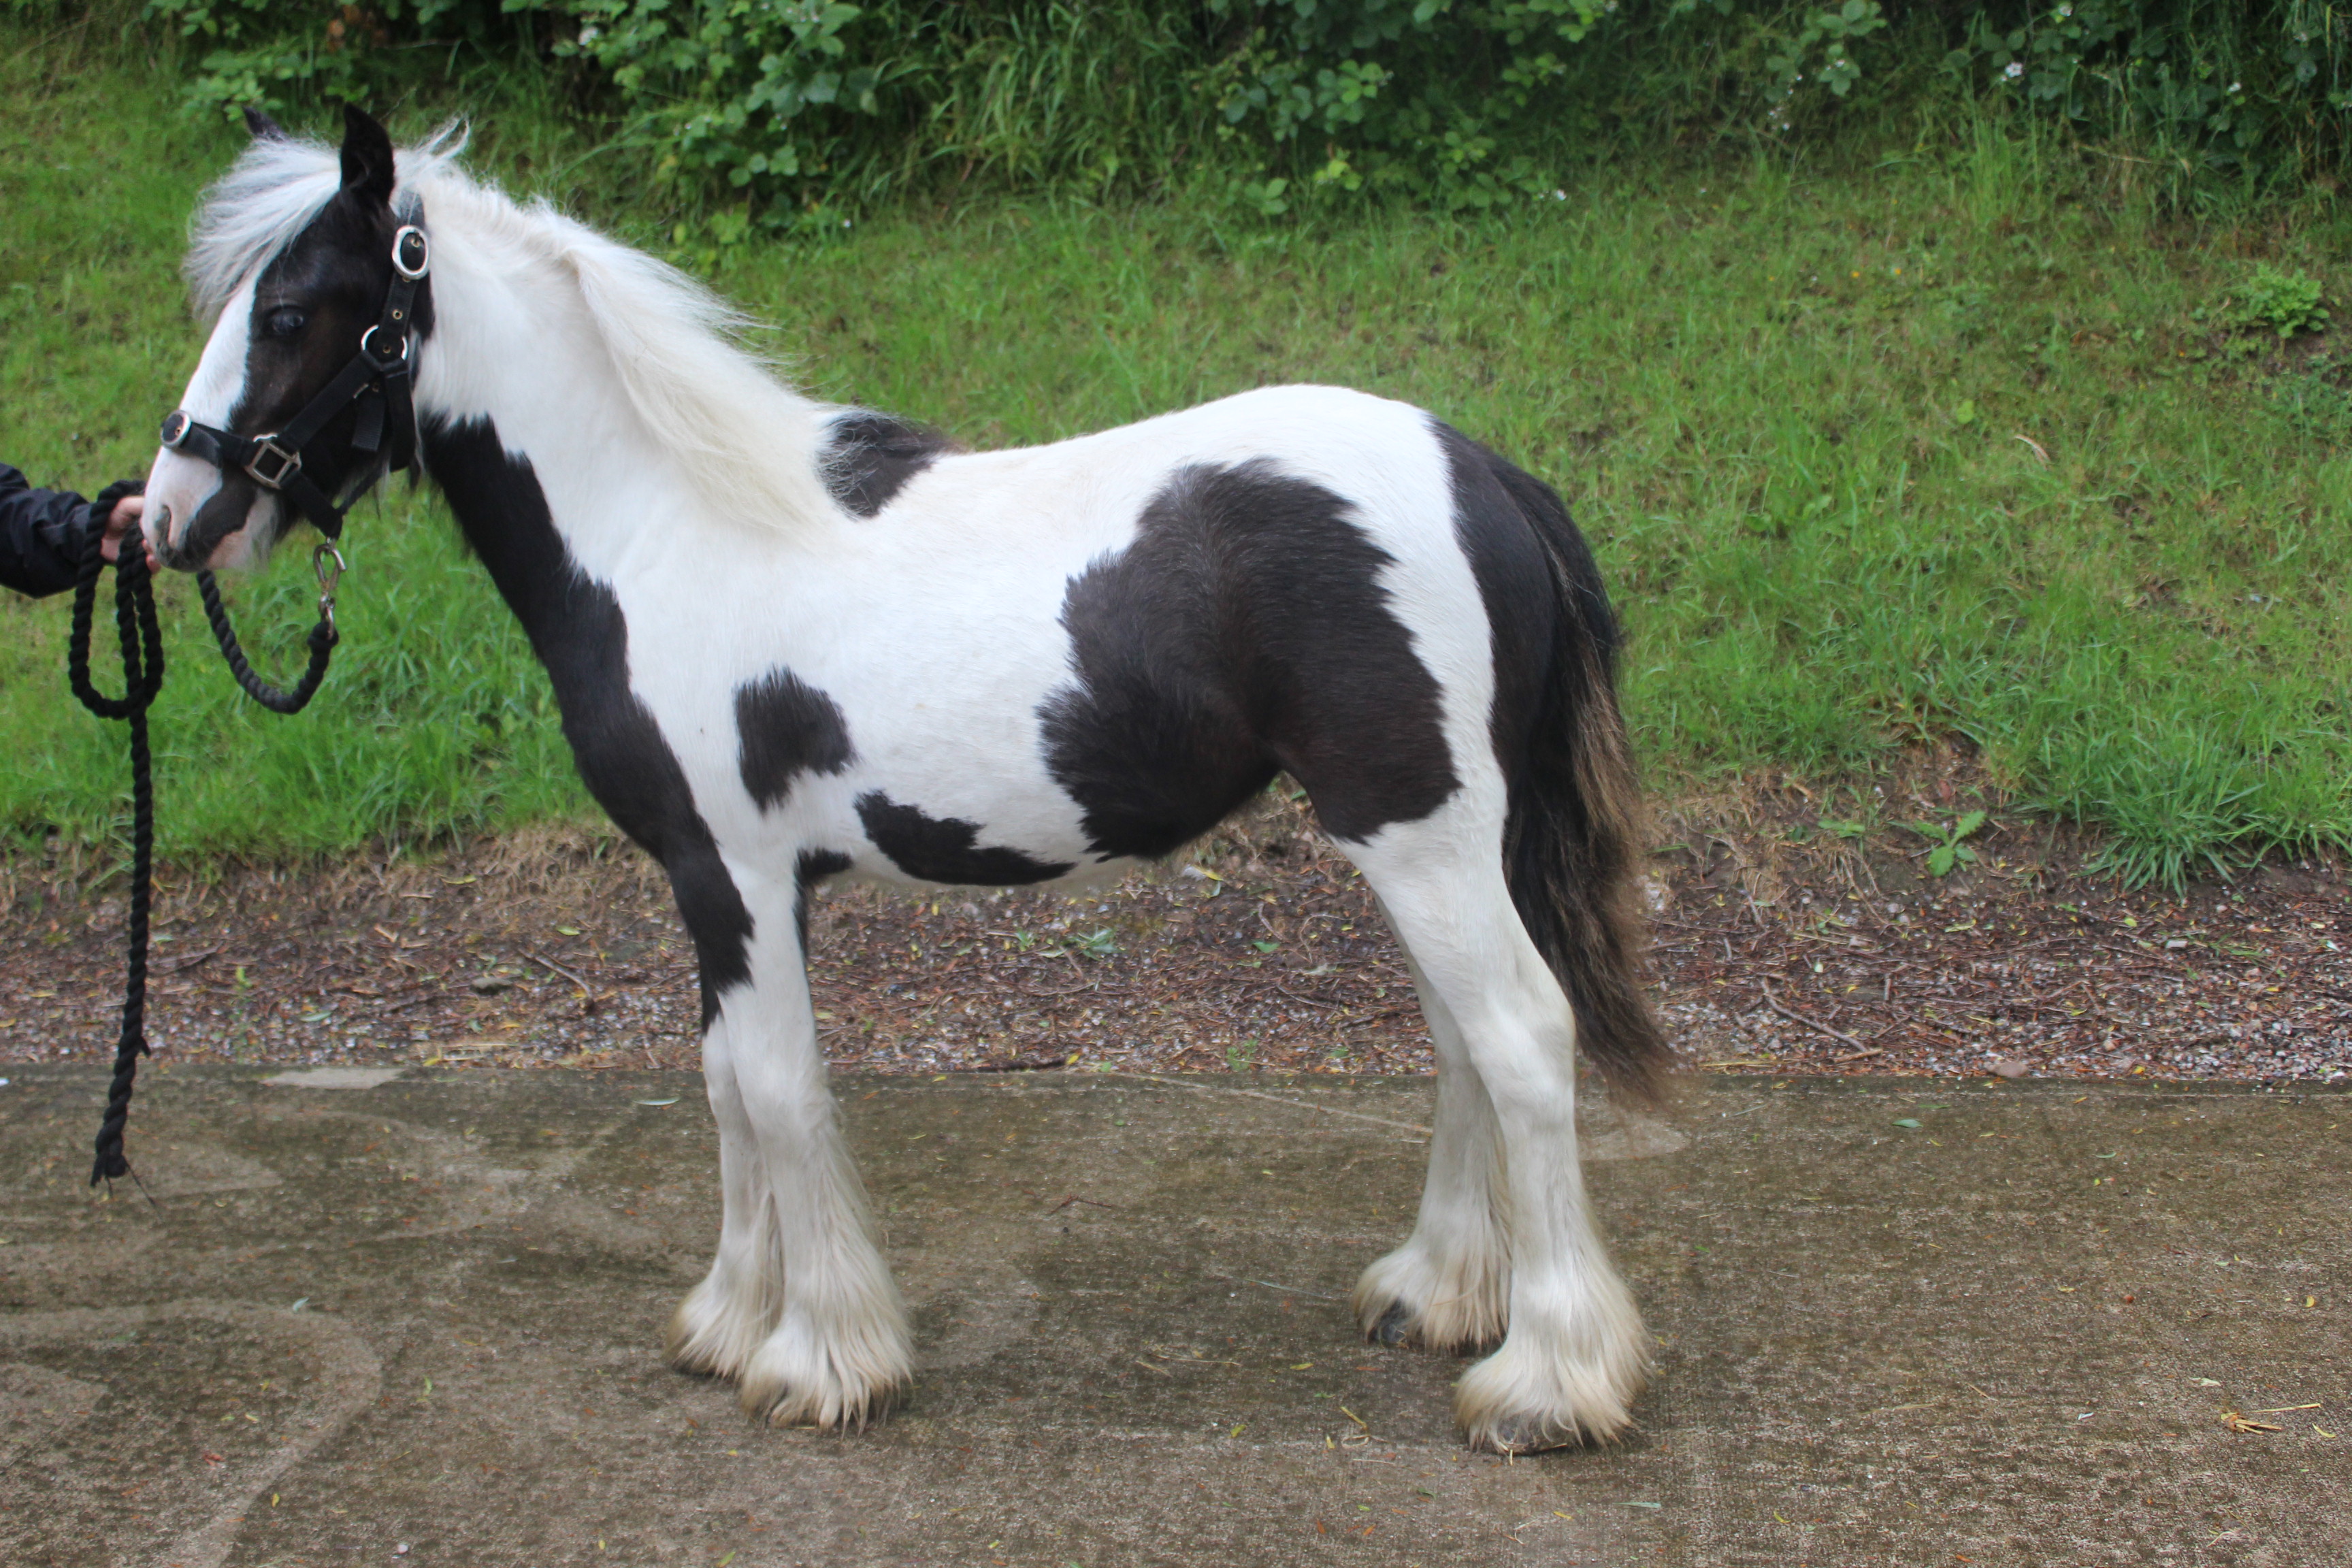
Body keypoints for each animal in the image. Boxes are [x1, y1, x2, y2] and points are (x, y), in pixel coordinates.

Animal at [142, 105, 1669, 1454]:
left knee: (1521, 1036)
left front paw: (820, 1360)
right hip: (1429, 845)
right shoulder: (721, 889)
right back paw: (1439, 1295)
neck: (663, 533)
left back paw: (1547, 1383)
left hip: (1420, 835)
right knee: (1465, 1042)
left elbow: (774, 1086)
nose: (169, 516)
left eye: (290, 313)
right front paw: (729, 1321)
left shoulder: (736, 875)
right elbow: (722, 1082)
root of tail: (1483, 473)